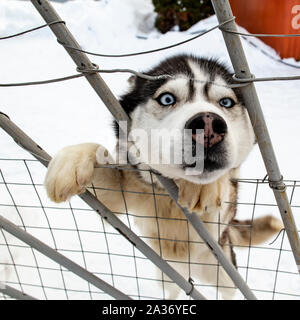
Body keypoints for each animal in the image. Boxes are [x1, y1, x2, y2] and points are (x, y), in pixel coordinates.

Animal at [44, 55, 282, 300]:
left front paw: (205, 186)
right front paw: (71, 160)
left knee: (229, 292)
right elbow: (100, 161)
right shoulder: (118, 198)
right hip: (168, 275)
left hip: (224, 271)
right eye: (167, 99)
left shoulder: (219, 216)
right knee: (176, 290)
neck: (168, 191)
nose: (208, 125)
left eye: (225, 102)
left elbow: (221, 187)